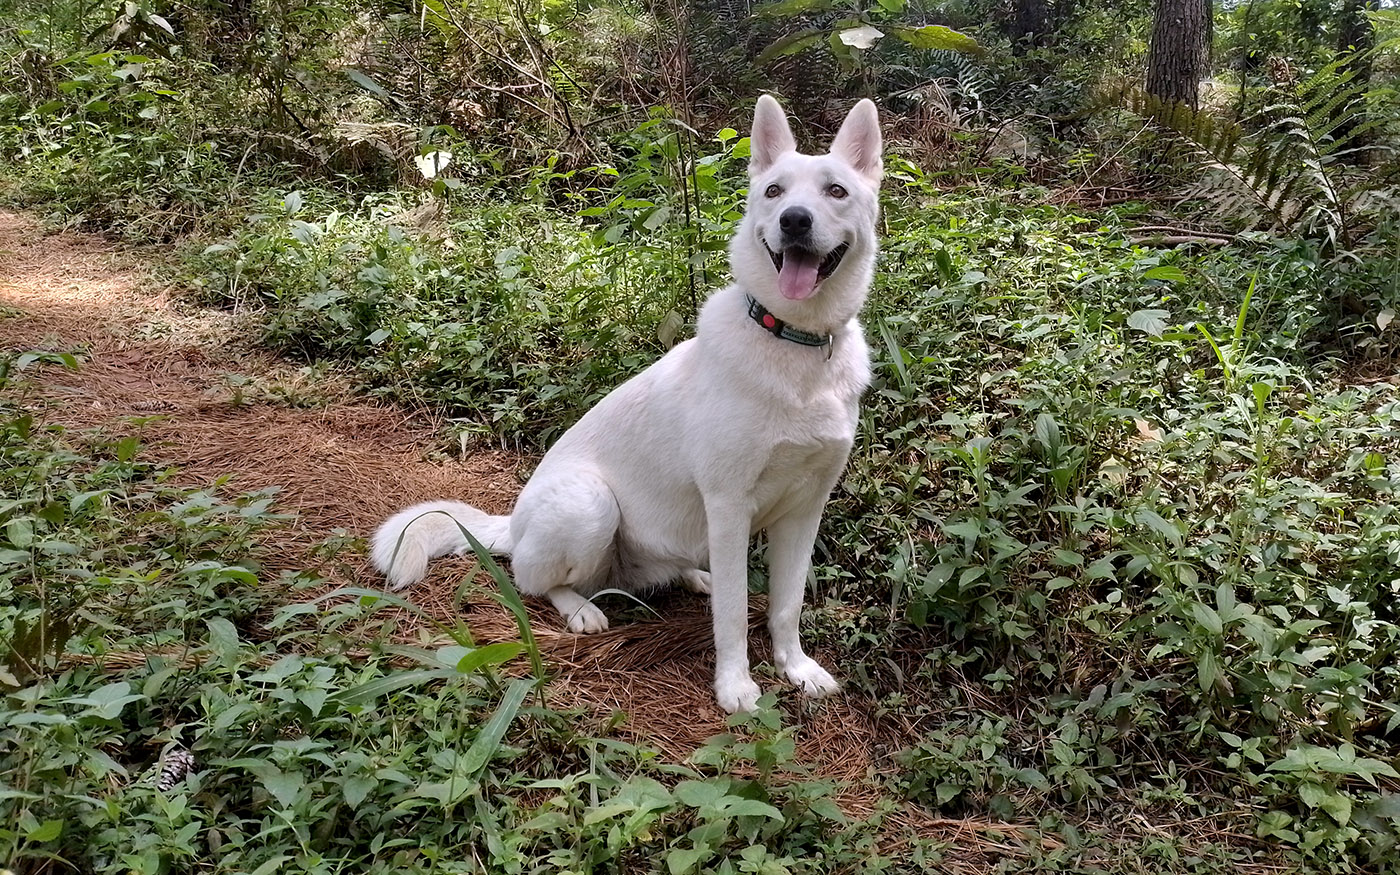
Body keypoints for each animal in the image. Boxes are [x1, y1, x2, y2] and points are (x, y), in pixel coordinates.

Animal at [369, 93, 873, 711]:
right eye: (775, 191)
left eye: (835, 191)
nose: (794, 221)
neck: (795, 342)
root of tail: (510, 526)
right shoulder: (729, 504)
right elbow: (732, 615)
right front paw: (735, 685)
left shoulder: (805, 509)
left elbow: (786, 605)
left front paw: (795, 668)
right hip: (589, 504)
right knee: (534, 581)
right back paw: (580, 609)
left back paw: (694, 577)